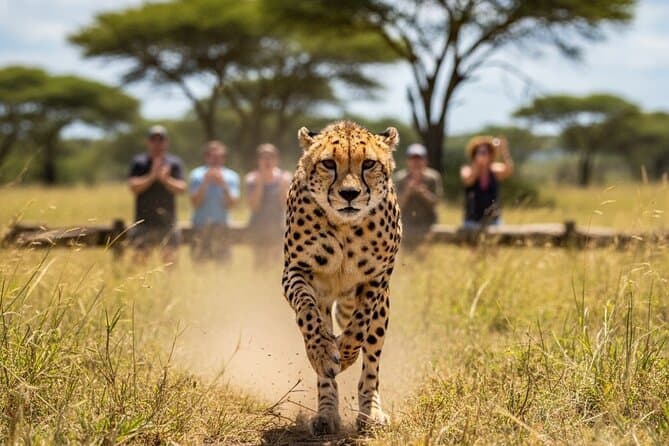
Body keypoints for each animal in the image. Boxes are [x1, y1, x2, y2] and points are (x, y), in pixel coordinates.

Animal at [281, 120, 402, 435]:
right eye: (328, 164)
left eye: (369, 164)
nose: (349, 193)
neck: (346, 226)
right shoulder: (296, 271)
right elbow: (308, 314)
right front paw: (323, 353)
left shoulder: (377, 278)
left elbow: (359, 326)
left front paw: (346, 353)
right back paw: (326, 413)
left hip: (381, 308)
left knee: (371, 360)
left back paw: (371, 412)